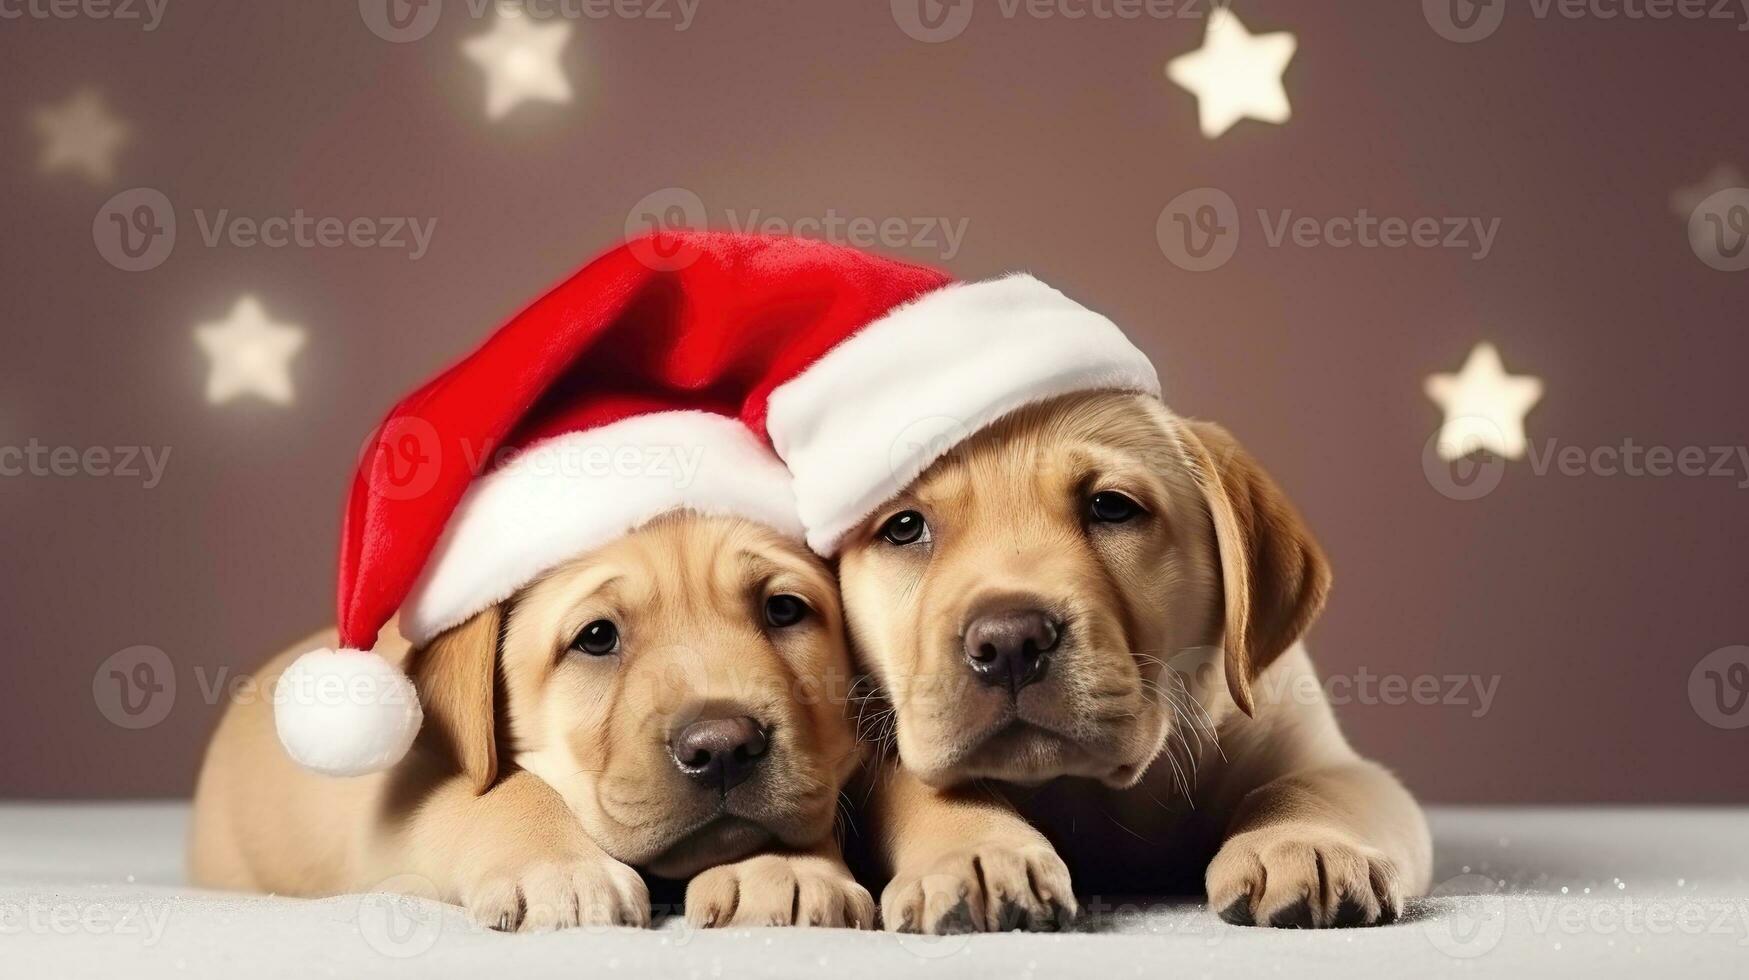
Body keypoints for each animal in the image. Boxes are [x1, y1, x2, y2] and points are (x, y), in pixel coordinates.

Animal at [191, 518, 874, 931]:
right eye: (596, 637)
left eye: (783, 609)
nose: (724, 748)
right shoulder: (405, 800)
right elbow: (499, 793)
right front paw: (562, 869)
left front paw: (785, 866)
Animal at [839, 392, 1427, 931]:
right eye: (904, 527)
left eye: (1112, 507)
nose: (1009, 643)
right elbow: (927, 791)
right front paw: (977, 853)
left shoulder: (1330, 756)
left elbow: (1309, 786)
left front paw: (1303, 842)